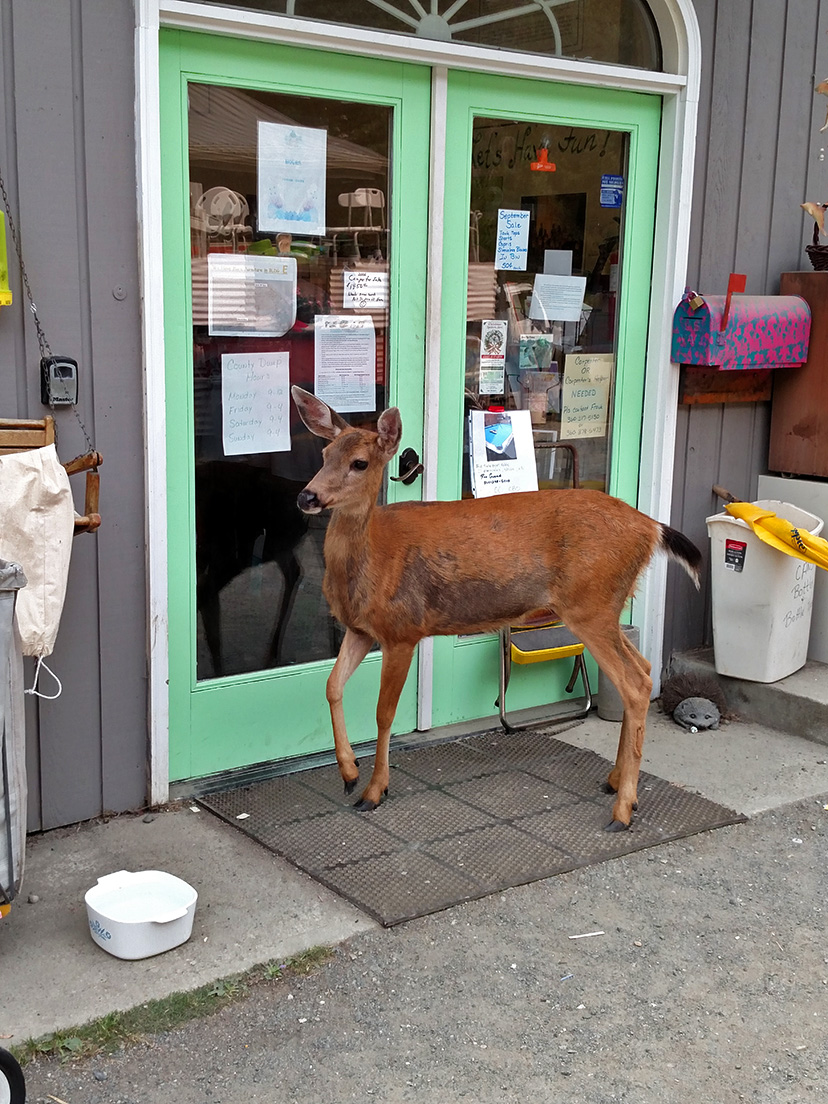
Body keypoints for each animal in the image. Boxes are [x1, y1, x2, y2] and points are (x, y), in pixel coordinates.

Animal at [291, 386, 702, 830]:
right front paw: (349, 774)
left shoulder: (403, 629)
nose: (307, 496)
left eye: (360, 463)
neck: (373, 559)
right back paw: (614, 784)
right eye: (324, 453)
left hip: (590, 605)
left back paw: (622, 810)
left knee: (636, 683)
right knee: (643, 668)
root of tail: (651, 528)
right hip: (605, 608)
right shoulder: (360, 629)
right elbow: (331, 686)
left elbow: (384, 713)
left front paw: (372, 791)